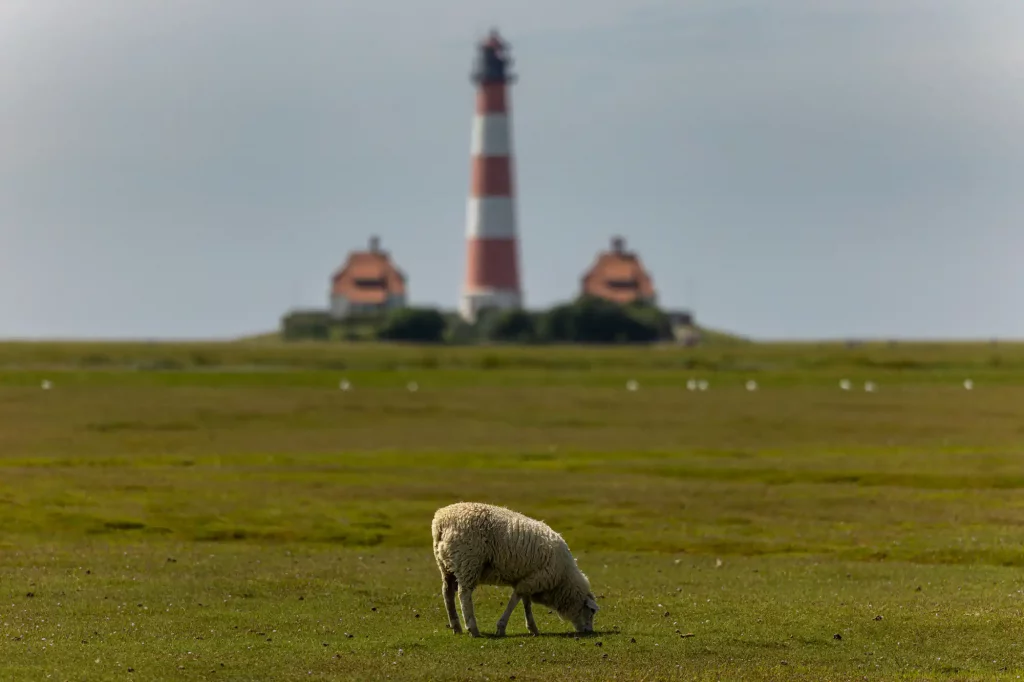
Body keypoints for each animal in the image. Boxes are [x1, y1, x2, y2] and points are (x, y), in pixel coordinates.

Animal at [431, 501, 599, 638]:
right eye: (591, 612)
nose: (589, 631)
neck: (563, 579)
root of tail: (441, 522)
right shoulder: (534, 579)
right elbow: (516, 600)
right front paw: (501, 627)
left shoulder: (530, 579)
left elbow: (526, 603)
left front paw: (532, 628)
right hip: (468, 562)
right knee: (464, 595)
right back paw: (473, 628)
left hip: (445, 565)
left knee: (447, 593)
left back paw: (456, 626)